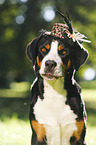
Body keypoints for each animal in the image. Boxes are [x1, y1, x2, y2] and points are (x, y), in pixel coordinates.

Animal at [26, 11, 90, 145]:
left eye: (64, 51)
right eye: (43, 49)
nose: (50, 64)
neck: (55, 92)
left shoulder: (78, 137)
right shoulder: (38, 134)